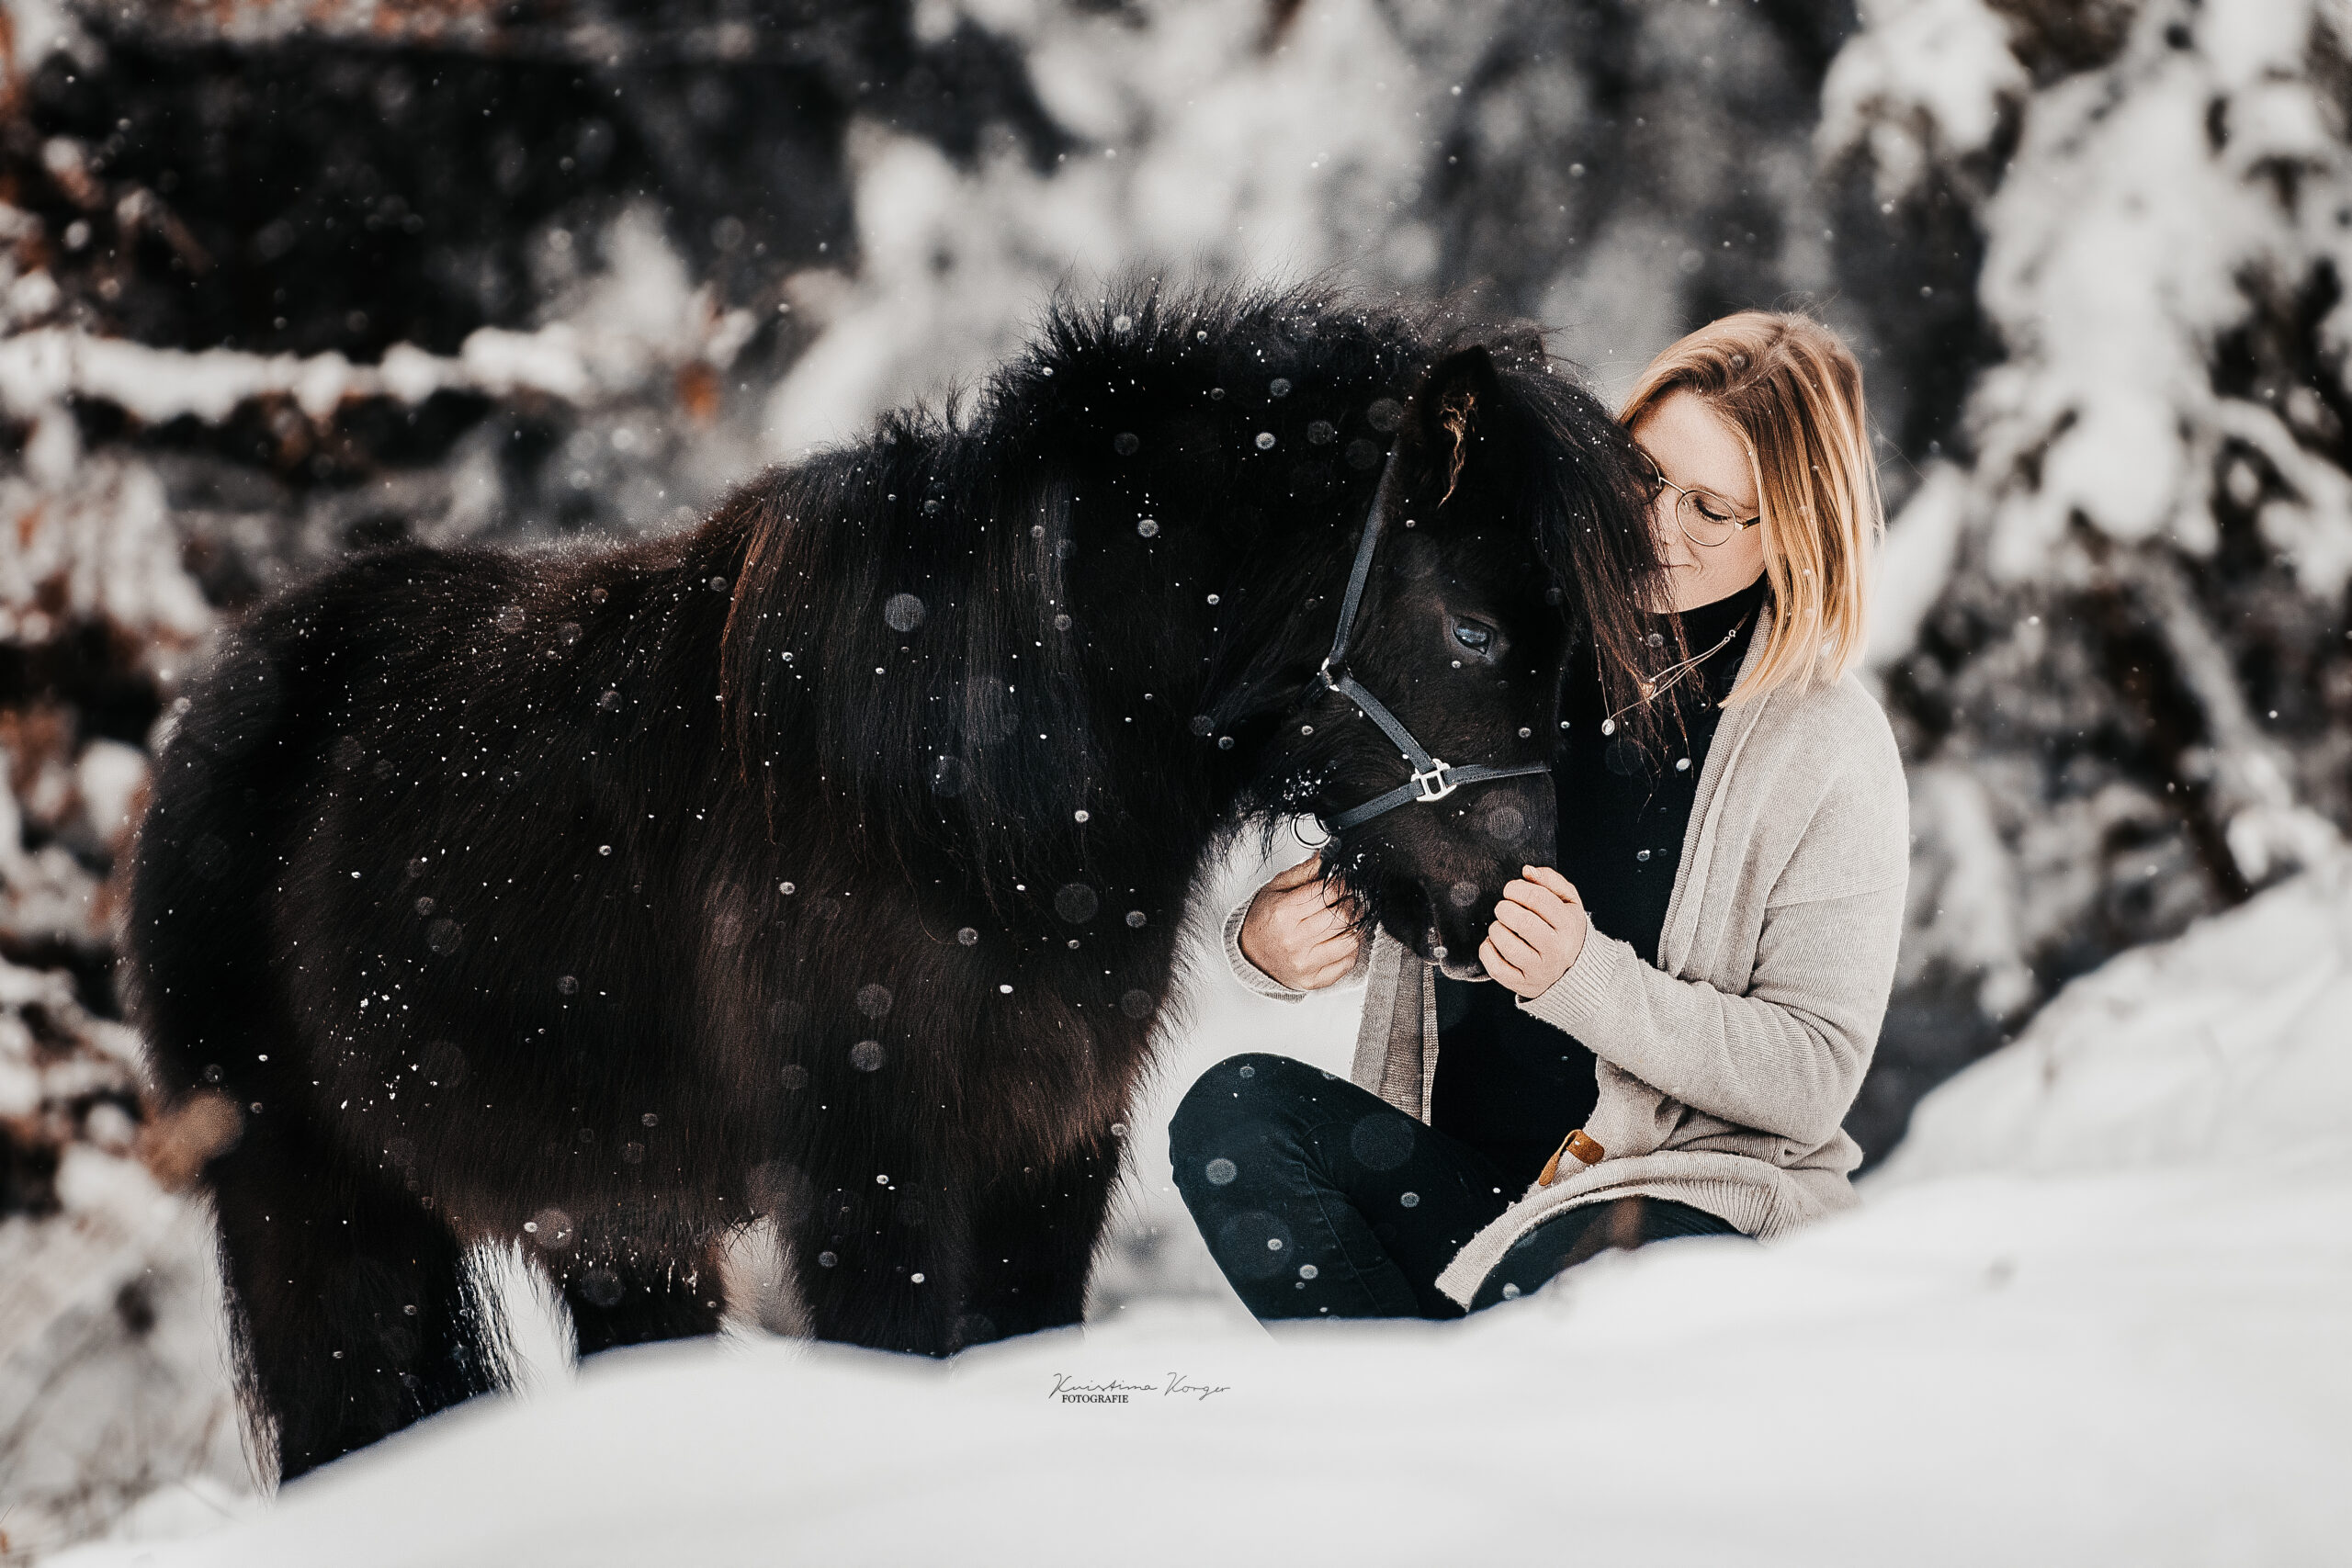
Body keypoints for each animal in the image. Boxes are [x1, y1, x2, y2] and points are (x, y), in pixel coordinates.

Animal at [124, 285, 1656, 1485]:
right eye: (1473, 627)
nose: (1508, 903)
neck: (981, 785)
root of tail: (221, 699)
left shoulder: (1048, 1153)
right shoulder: (873, 1177)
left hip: (613, 1224)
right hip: (314, 1214)